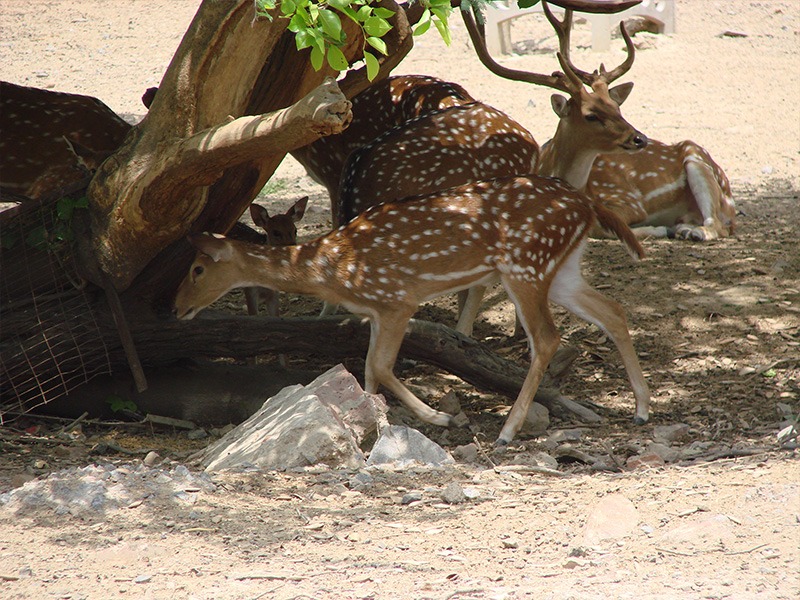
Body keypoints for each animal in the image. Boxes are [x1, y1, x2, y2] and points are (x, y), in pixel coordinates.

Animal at [173, 176, 648, 442]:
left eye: (197, 268)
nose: (176, 308)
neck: (333, 268)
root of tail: (587, 203)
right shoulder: (374, 312)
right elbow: (366, 371)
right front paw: (376, 429)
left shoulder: (398, 299)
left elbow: (381, 367)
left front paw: (441, 418)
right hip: (560, 266)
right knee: (613, 309)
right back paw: (642, 409)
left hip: (524, 265)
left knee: (548, 337)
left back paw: (508, 431)